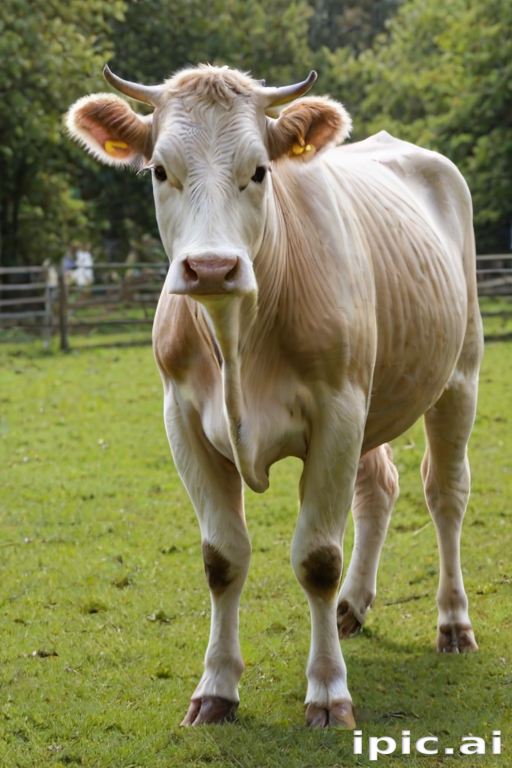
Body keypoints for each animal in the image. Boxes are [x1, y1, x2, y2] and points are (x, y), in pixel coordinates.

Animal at [66, 63, 484, 729]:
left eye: (260, 170)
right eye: (159, 169)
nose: (212, 267)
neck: (239, 337)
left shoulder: (337, 412)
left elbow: (317, 558)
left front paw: (328, 693)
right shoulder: (183, 419)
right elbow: (222, 558)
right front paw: (216, 688)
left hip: (458, 375)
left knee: (445, 494)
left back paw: (452, 623)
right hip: (373, 396)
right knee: (379, 488)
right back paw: (352, 607)